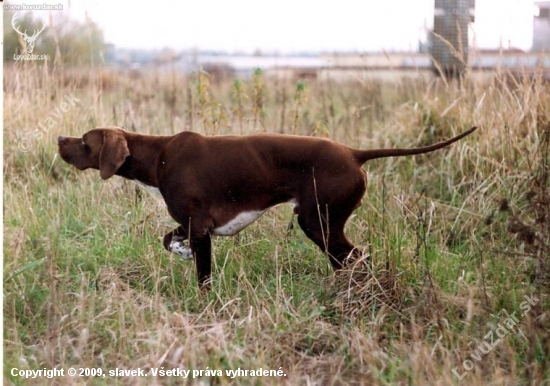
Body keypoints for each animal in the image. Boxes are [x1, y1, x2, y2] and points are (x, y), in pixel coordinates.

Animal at [57, 125, 478, 288]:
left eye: (84, 141)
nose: (60, 139)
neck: (159, 156)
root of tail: (354, 154)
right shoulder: (194, 225)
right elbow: (168, 238)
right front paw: (179, 251)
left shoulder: (201, 228)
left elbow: (203, 278)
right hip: (323, 225)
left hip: (319, 223)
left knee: (355, 259)